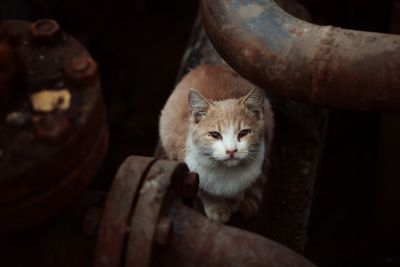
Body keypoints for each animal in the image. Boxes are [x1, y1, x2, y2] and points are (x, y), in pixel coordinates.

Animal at [159, 65, 276, 224]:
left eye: (244, 133)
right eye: (215, 135)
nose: (231, 151)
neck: (226, 172)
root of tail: (206, 65)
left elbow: (240, 191)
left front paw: (235, 201)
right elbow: (203, 191)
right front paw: (217, 207)